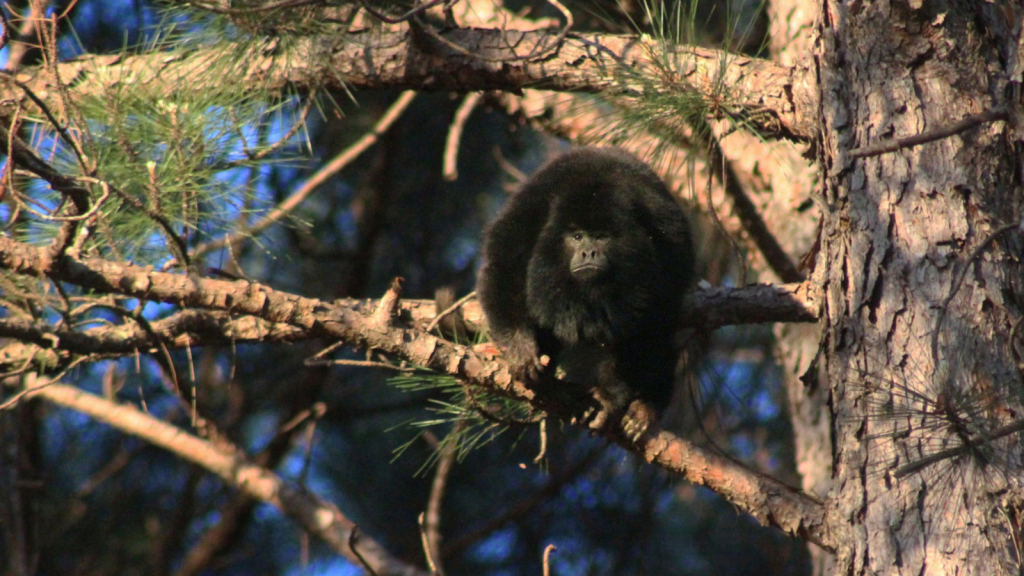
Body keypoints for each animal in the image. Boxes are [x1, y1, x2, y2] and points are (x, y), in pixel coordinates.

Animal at [479, 147, 696, 430]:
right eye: (577, 237)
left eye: (602, 237)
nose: (588, 252)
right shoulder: (531, 212)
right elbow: (505, 269)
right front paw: (521, 350)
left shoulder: (666, 240)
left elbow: (649, 323)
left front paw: (610, 396)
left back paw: (646, 406)